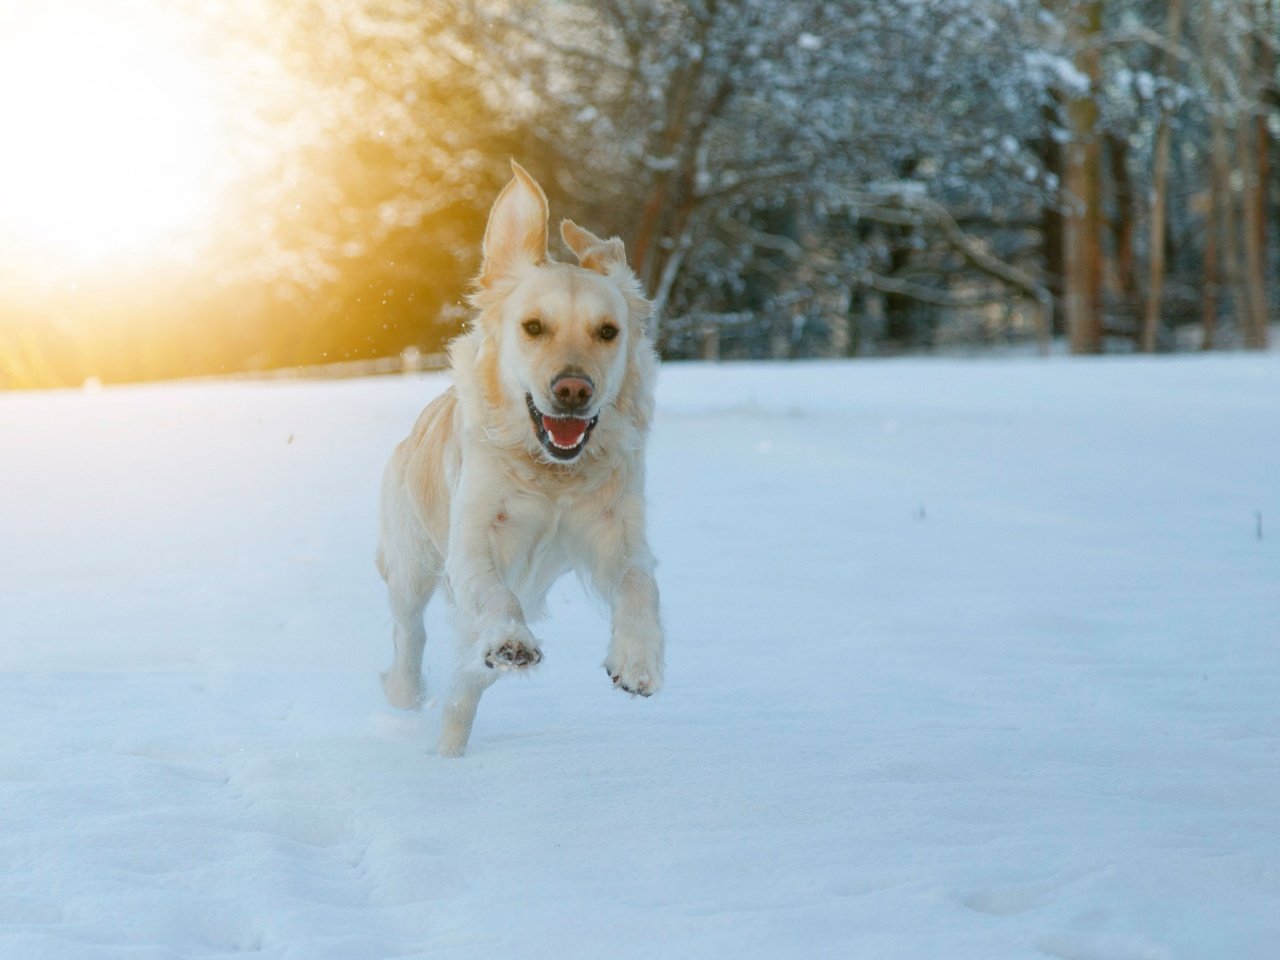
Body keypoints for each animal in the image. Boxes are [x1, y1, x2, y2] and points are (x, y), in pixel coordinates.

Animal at [373, 160, 665, 757]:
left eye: (608, 331)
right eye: (533, 326)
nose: (573, 390)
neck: (552, 471)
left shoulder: (617, 529)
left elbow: (639, 582)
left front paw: (637, 660)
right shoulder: (473, 537)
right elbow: (495, 596)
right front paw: (511, 641)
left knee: (466, 684)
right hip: (410, 563)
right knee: (409, 634)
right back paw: (408, 697)